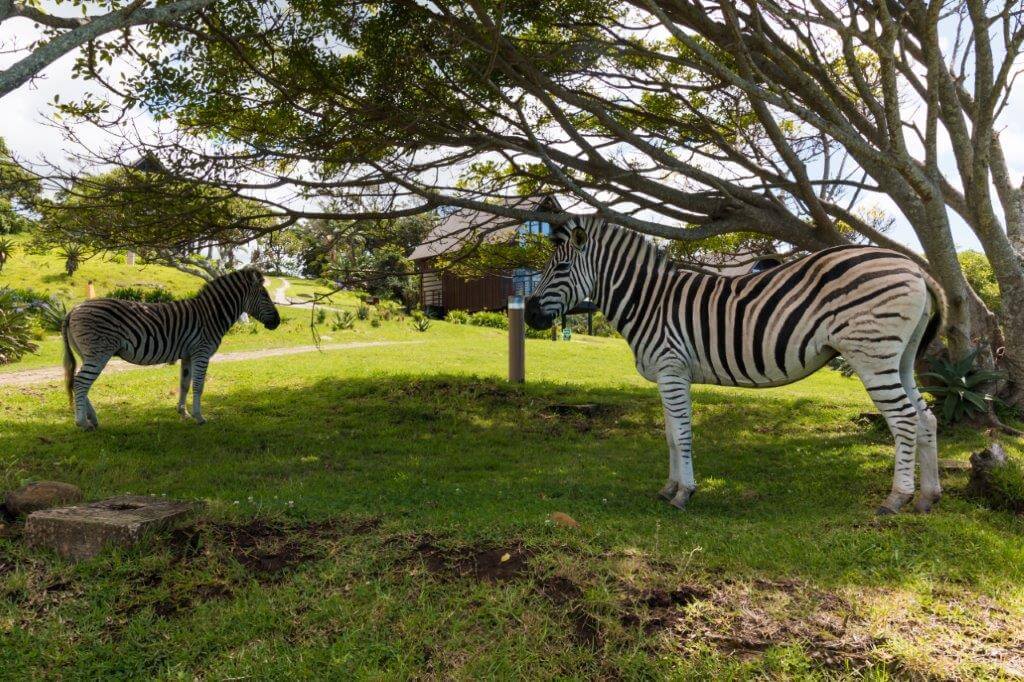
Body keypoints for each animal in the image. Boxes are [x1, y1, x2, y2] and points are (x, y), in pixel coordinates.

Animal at [61, 268, 281, 430]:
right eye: (265, 295)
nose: (277, 322)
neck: (211, 315)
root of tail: (74, 309)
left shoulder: (188, 355)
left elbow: (184, 384)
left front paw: (183, 413)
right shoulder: (202, 352)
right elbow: (199, 386)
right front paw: (199, 417)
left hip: (88, 354)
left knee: (79, 383)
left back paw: (92, 419)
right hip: (99, 353)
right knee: (81, 383)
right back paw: (82, 423)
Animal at [525, 218, 946, 515]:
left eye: (561, 268)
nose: (527, 314)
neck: (648, 302)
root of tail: (915, 268)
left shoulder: (673, 370)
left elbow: (682, 435)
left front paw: (684, 493)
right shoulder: (666, 376)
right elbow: (669, 435)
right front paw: (668, 488)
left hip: (871, 354)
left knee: (904, 419)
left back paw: (896, 499)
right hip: (900, 357)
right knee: (925, 417)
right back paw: (928, 497)